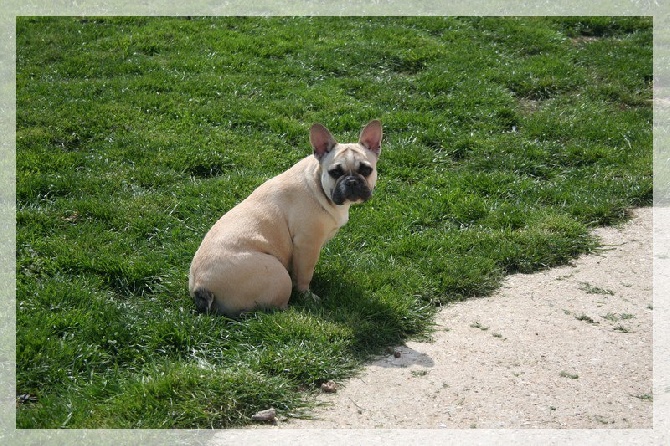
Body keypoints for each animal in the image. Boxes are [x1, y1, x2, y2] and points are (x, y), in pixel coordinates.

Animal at [189, 118, 386, 318]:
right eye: (335, 172)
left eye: (366, 170)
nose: (352, 181)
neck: (318, 184)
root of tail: (200, 286)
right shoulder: (307, 244)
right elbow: (305, 274)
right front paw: (307, 295)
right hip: (277, 275)